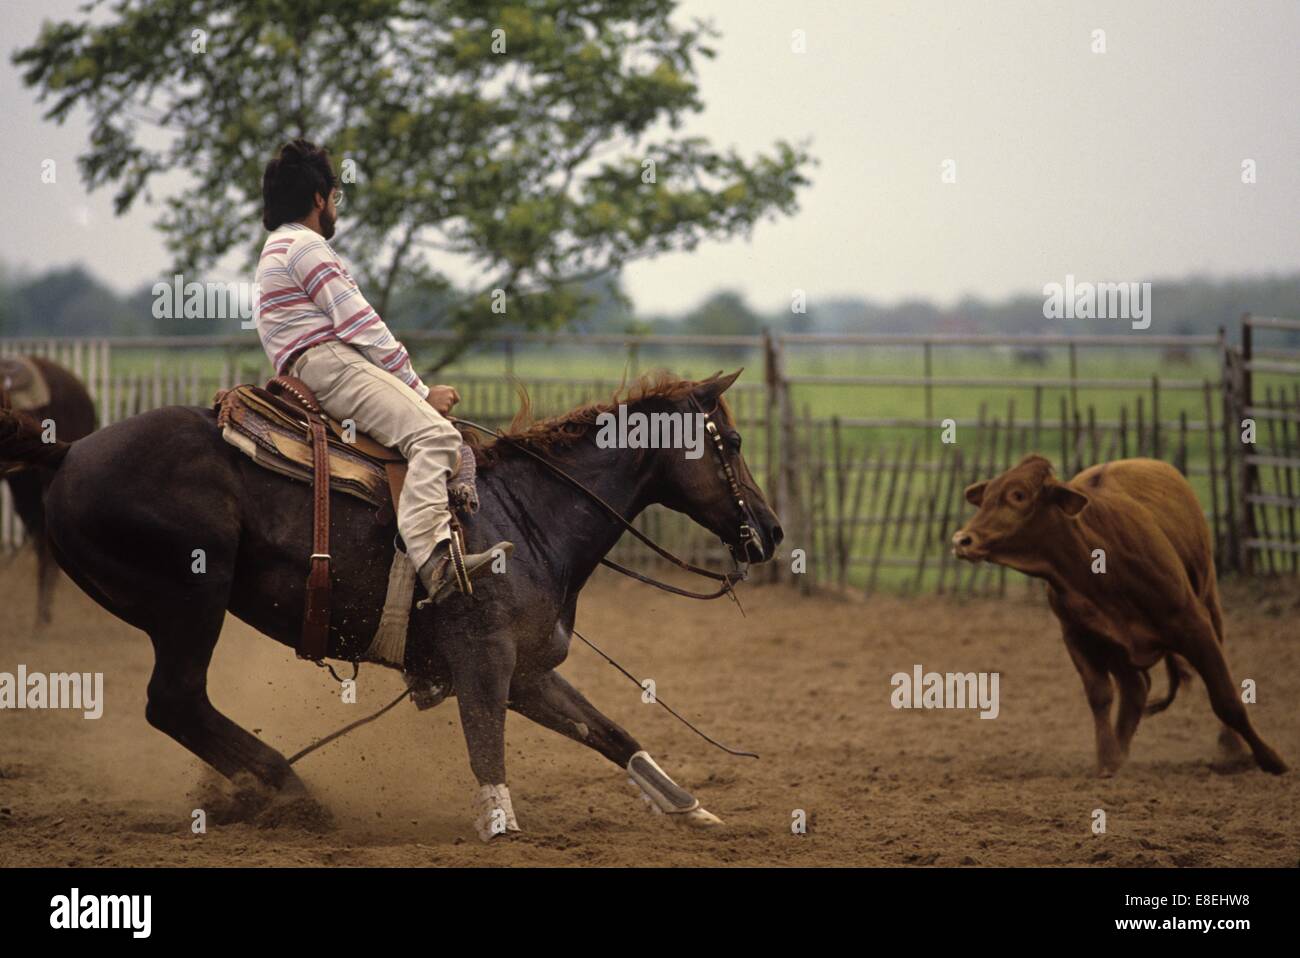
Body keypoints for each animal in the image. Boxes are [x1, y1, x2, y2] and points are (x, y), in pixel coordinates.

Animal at [951, 452, 1284, 774]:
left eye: (1018, 495)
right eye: (986, 496)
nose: (962, 540)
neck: (1096, 564)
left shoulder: (1194, 625)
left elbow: (1225, 698)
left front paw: (1269, 758)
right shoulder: (1079, 636)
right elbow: (1100, 694)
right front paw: (1108, 758)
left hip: (1208, 597)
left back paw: (1231, 746)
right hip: (1117, 646)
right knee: (1136, 688)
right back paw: (1122, 749)